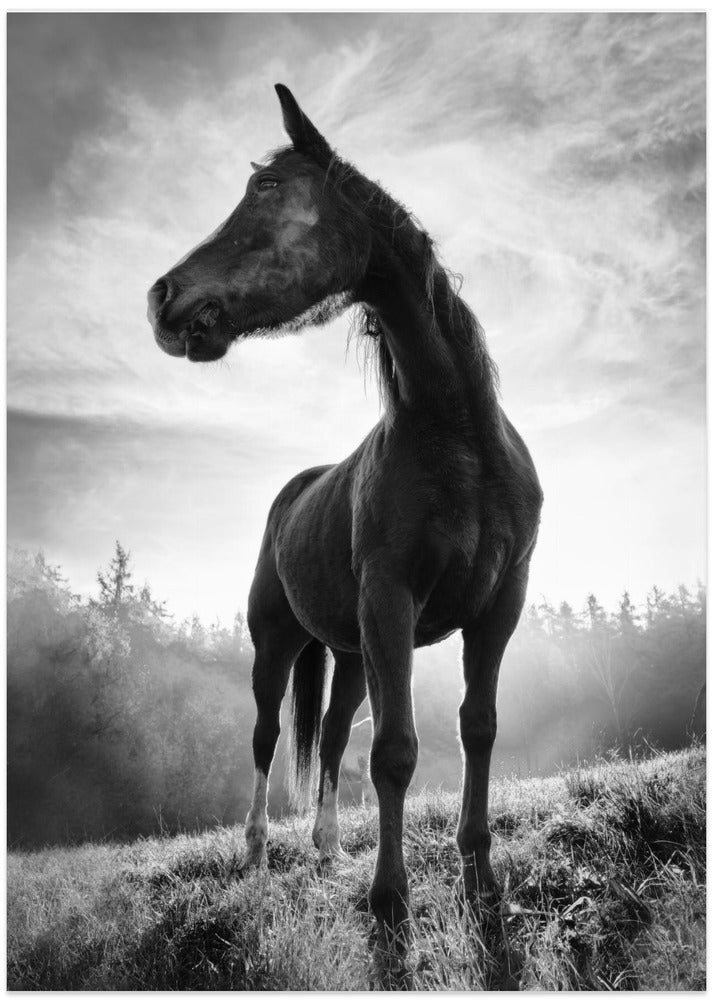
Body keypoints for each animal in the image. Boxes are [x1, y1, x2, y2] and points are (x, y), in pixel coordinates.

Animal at [147, 84, 543, 987]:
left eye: (266, 190)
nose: (161, 298)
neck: (455, 436)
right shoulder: (391, 604)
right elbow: (395, 752)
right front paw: (390, 906)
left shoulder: (497, 608)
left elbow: (476, 728)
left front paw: (480, 878)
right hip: (277, 645)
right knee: (266, 739)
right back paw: (259, 852)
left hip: (352, 654)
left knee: (327, 739)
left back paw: (327, 849)